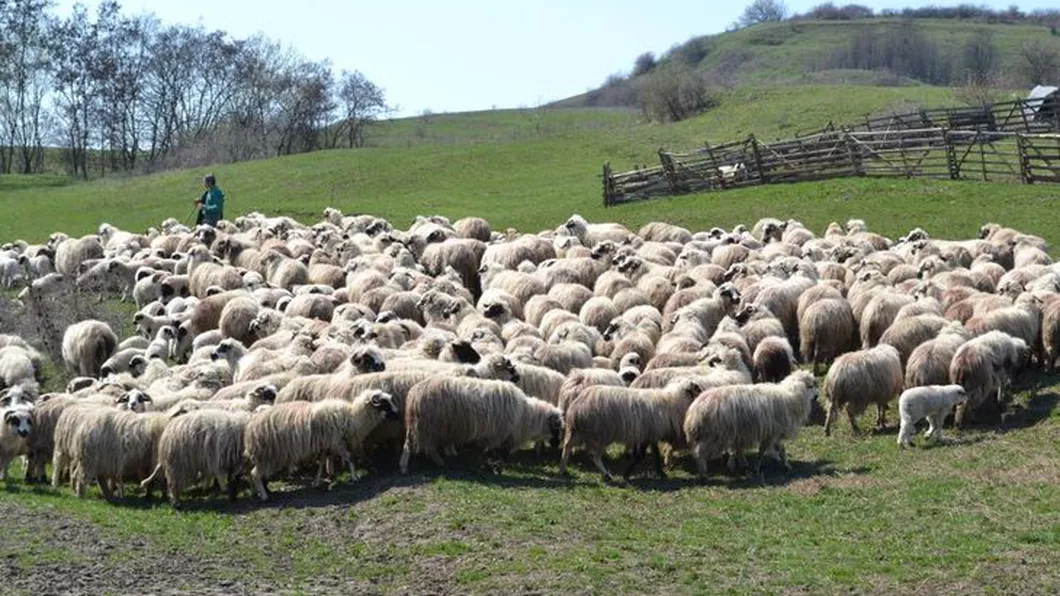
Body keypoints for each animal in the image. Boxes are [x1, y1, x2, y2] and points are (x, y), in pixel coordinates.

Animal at [245, 388, 398, 498]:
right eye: (384, 403)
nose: (397, 413)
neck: (352, 418)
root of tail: (251, 428)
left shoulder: (326, 444)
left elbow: (322, 461)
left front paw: (317, 481)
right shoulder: (336, 442)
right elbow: (348, 457)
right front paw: (354, 477)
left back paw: (262, 492)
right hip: (267, 454)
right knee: (255, 474)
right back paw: (264, 496)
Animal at [398, 375, 563, 472]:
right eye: (556, 427)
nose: (557, 445)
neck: (526, 415)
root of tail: (414, 392)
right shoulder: (501, 433)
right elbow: (499, 451)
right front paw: (497, 462)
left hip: (427, 427)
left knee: (422, 447)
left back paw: (435, 463)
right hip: (428, 426)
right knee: (417, 447)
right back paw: (410, 466)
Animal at [559, 377, 699, 479]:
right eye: (697, 388)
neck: (672, 400)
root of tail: (579, 402)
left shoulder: (650, 434)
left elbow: (655, 454)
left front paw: (660, 472)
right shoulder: (646, 434)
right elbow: (641, 455)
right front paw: (627, 473)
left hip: (580, 430)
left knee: (568, 445)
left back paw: (563, 468)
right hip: (600, 433)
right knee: (594, 455)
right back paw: (606, 474)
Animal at [682, 369, 814, 475]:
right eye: (811, 386)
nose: (817, 396)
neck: (792, 397)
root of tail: (694, 410)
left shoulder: (768, 432)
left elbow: (764, 450)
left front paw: (756, 466)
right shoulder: (774, 432)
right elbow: (777, 450)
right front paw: (785, 465)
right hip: (714, 435)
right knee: (700, 453)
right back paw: (703, 473)